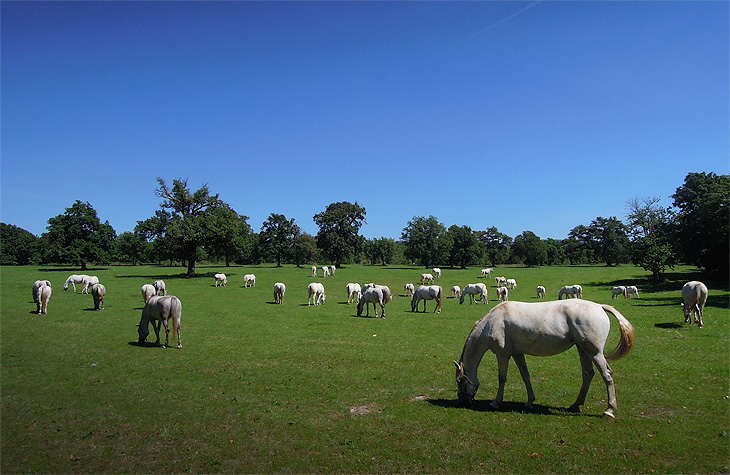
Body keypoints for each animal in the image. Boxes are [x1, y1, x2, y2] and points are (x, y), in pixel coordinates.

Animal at [456, 302, 632, 420]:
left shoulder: (502, 354)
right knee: (588, 374)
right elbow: (525, 376)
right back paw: (575, 405)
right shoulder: (518, 354)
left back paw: (609, 410)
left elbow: (502, 378)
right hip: (583, 350)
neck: (493, 321)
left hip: (595, 353)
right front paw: (529, 402)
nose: (462, 403)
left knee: (607, 375)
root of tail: (600, 307)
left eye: (459, 381)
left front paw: (496, 402)